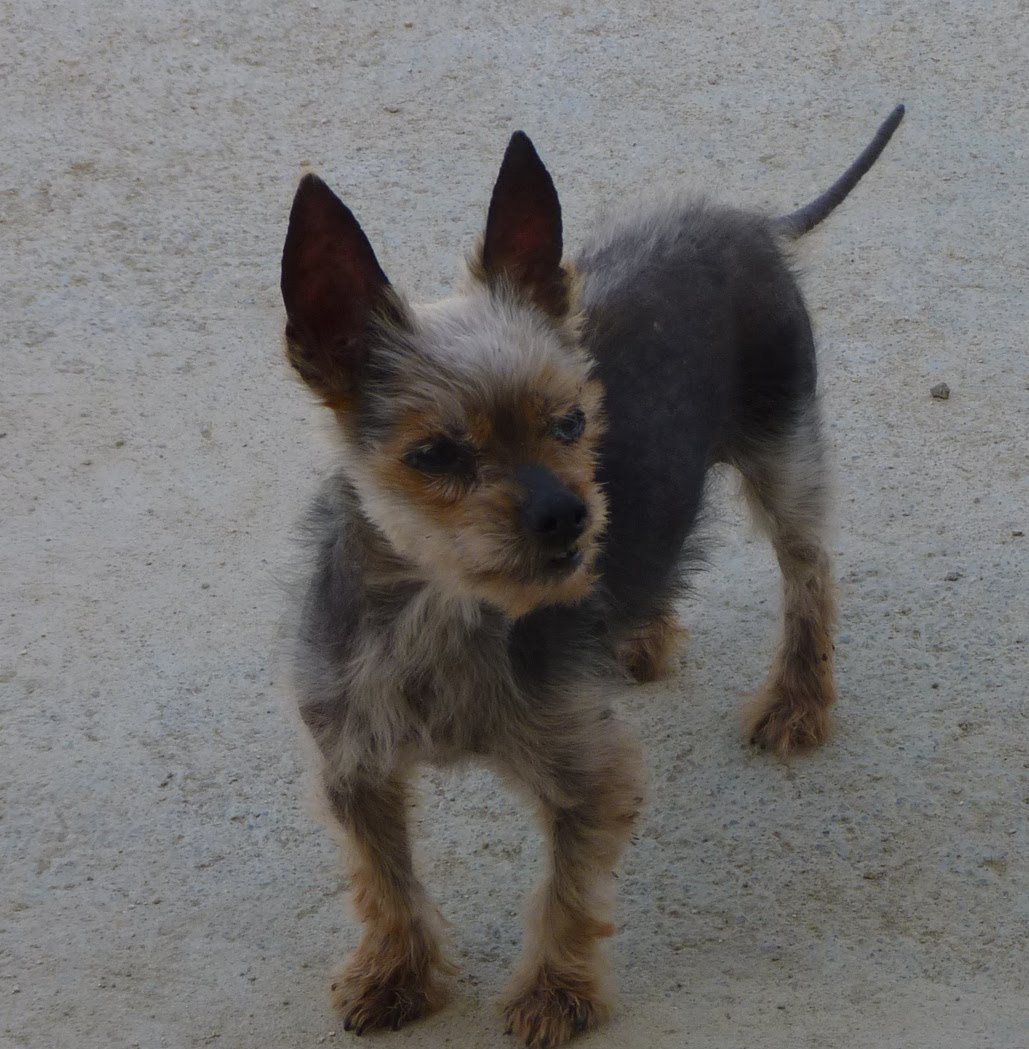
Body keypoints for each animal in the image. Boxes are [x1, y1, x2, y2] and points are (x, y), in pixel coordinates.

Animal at [279, 105, 904, 1048]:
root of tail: (744, 221)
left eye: (572, 422)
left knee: (808, 571)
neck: (445, 606)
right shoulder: (354, 766)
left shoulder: (587, 774)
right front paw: (397, 971)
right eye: (434, 454)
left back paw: (797, 696)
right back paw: (640, 633)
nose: (569, 517)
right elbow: (385, 877)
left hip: (784, 448)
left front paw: (553, 992)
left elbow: (565, 893)